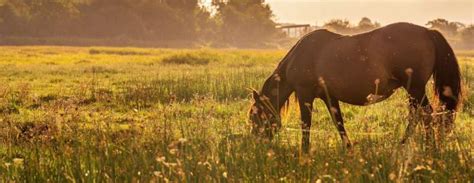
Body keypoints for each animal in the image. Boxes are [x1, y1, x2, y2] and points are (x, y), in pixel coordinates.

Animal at [250, 22, 462, 152]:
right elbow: (339, 123)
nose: (257, 143)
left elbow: (306, 125)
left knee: (426, 114)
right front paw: (349, 148)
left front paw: (305, 151)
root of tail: (427, 32)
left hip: (415, 88)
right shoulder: (329, 97)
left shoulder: (305, 95)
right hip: (413, 91)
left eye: (255, 116)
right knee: (418, 115)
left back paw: (427, 148)